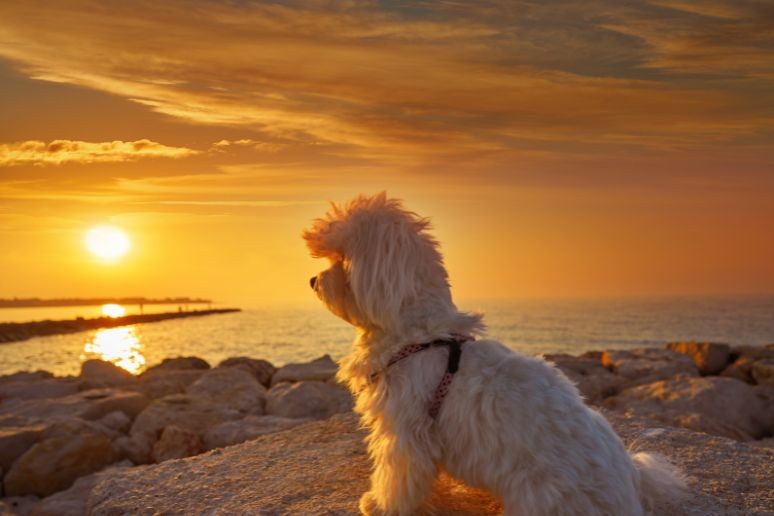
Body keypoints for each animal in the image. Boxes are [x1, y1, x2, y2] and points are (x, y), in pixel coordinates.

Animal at [304, 194, 684, 516]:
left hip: (539, 495)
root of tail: (630, 489)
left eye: (342, 260)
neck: (416, 334)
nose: (311, 281)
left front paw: (382, 505)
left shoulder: (405, 431)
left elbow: (398, 474)